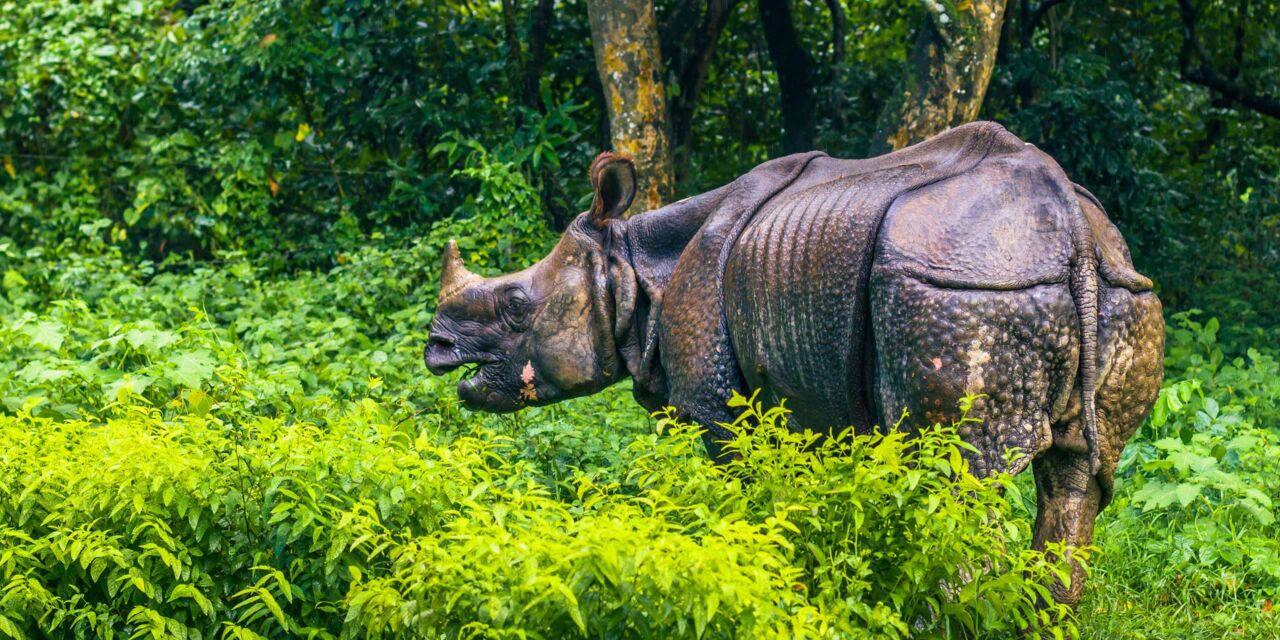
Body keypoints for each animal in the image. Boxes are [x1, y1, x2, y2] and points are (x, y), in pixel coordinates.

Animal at [425, 121, 1164, 607]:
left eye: (516, 305)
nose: (436, 348)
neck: (633, 266)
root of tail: (1070, 225)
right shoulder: (804, 396)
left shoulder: (718, 409)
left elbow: (747, 493)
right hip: (1118, 290)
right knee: (1077, 476)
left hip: (957, 288)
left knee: (955, 480)